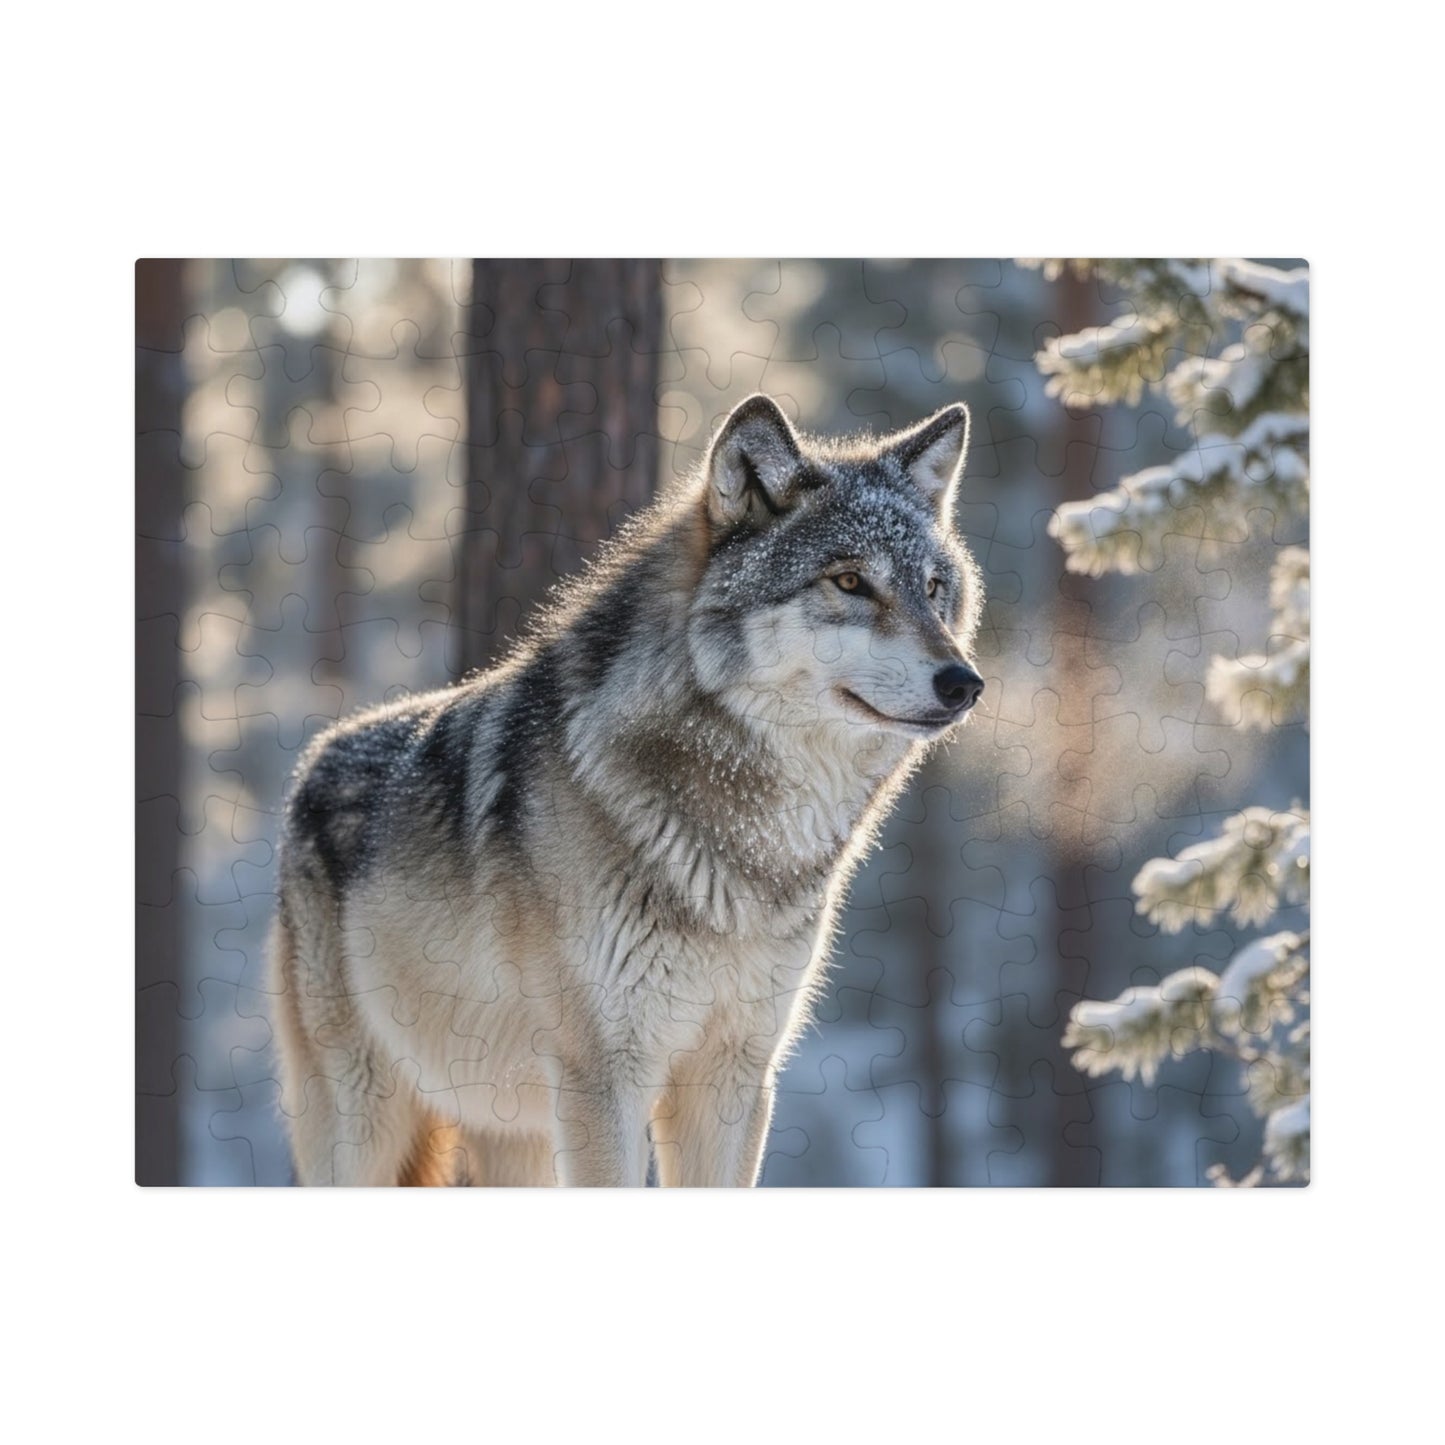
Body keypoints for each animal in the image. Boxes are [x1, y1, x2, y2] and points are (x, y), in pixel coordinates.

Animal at [270, 393, 985, 1185]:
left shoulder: (734, 1072)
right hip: (365, 1121)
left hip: (511, 1136)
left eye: (933, 589)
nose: (964, 683)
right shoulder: (604, 1077)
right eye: (850, 582)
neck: (748, 844)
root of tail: (315, 756)